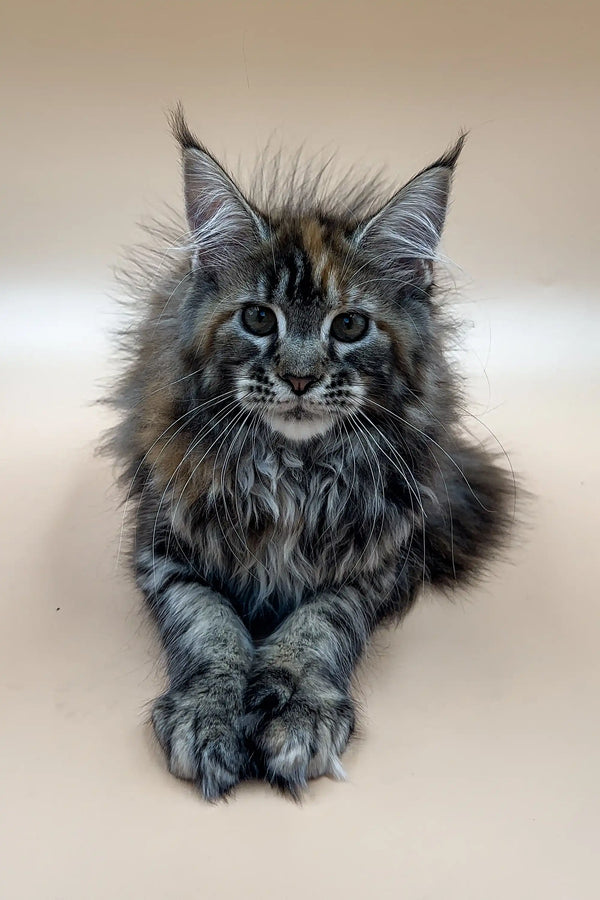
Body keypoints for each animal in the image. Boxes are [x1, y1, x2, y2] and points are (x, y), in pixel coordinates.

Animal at [105, 107, 512, 800]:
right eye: (258, 319)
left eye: (348, 326)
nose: (299, 378)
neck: (293, 475)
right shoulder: (166, 548)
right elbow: (210, 627)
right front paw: (210, 714)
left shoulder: (375, 564)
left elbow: (317, 628)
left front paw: (297, 711)